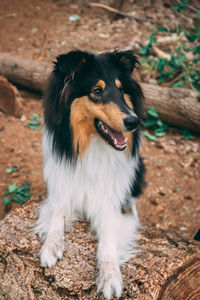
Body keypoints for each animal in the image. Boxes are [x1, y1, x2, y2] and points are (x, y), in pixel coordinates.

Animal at [36, 50, 145, 298]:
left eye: (121, 90)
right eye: (97, 91)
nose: (133, 121)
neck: (93, 147)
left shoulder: (110, 202)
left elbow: (108, 241)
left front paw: (110, 277)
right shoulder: (62, 185)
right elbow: (56, 214)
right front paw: (51, 247)